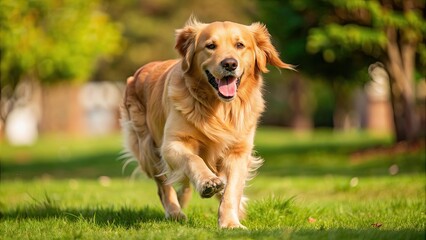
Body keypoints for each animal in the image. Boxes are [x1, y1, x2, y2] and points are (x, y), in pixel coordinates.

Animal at [120, 17, 292, 229]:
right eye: (210, 46)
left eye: (240, 45)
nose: (230, 63)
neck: (219, 109)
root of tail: (136, 74)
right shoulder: (171, 144)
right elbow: (193, 159)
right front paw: (208, 182)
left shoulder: (238, 151)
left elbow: (232, 190)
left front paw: (230, 222)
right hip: (148, 149)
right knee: (164, 185)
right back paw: (175, 212)